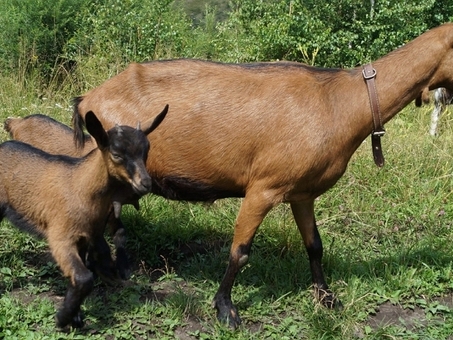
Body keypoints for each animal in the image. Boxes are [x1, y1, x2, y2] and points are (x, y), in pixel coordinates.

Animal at [72, 22, 452, 328]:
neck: (339, 101)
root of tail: (87, 99)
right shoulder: (263, 188)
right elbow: (239, 251)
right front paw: (225, 309)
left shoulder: (302, 193)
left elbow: (315, 246)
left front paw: (326, 297)